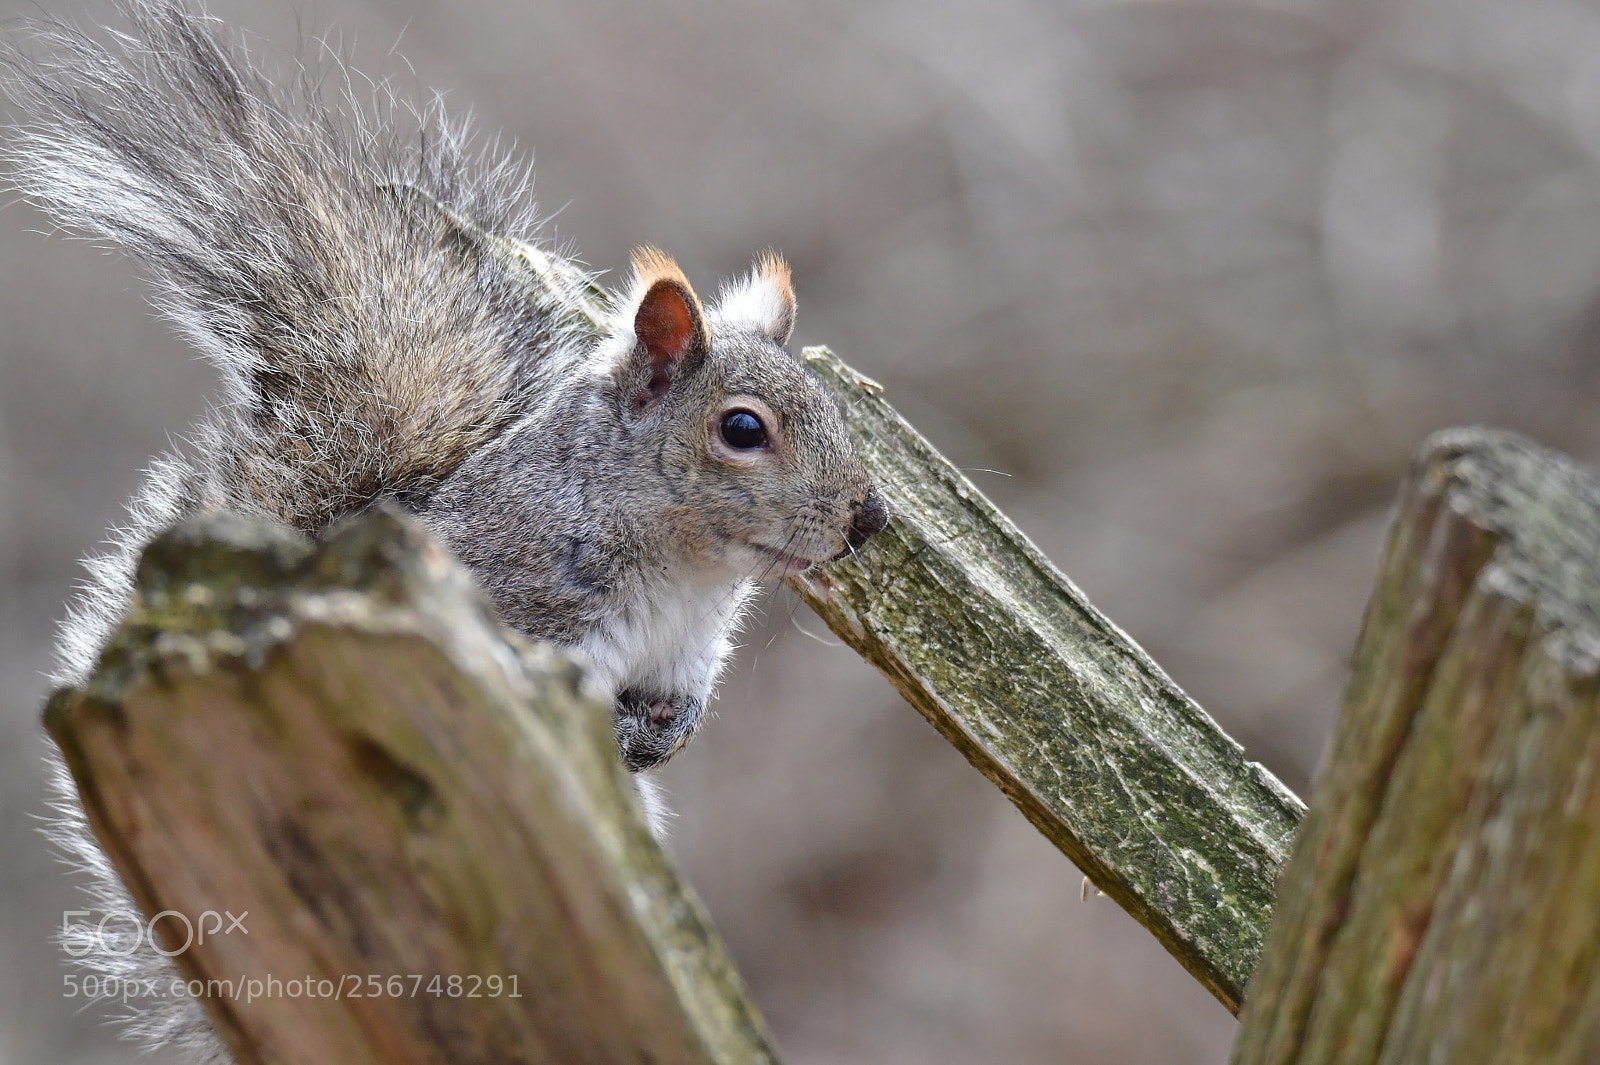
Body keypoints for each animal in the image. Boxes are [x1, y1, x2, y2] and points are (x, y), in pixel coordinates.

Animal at [6, 2, 886, 1061]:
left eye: (836, 411)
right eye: (743, 430)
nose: (870, 518)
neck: (688, 573)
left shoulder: (689, 650)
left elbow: (682, 699)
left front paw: (670, 732)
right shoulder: (518, 601)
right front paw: (619, 728)